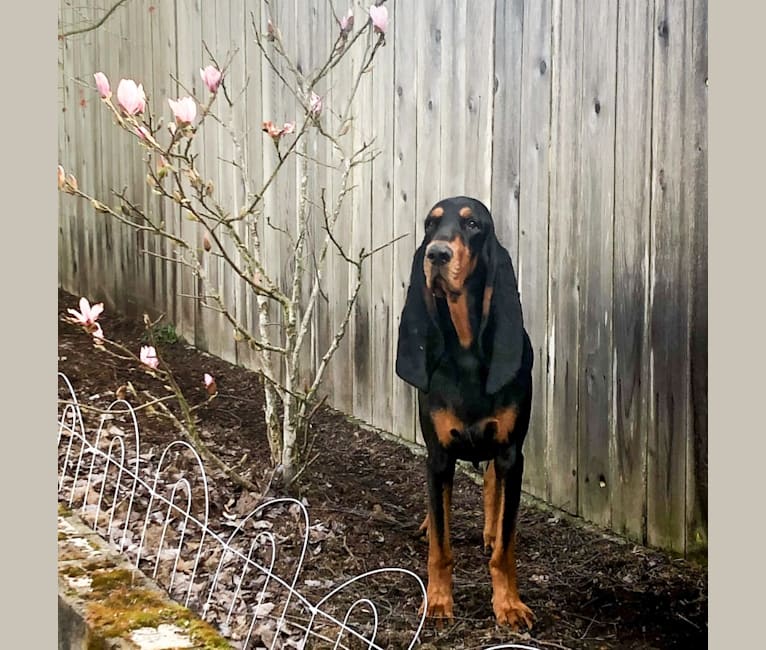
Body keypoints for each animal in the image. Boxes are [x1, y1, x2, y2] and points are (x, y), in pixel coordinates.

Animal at [396, 194, 536, 628]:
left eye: (473, 224)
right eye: (430, 224)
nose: (437, 255)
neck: (466, 349)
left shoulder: (511, 454)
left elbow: (505, 546)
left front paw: (508, 604)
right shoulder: (439, 455)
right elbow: (441, 546)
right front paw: (438, 601)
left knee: (492, 485)